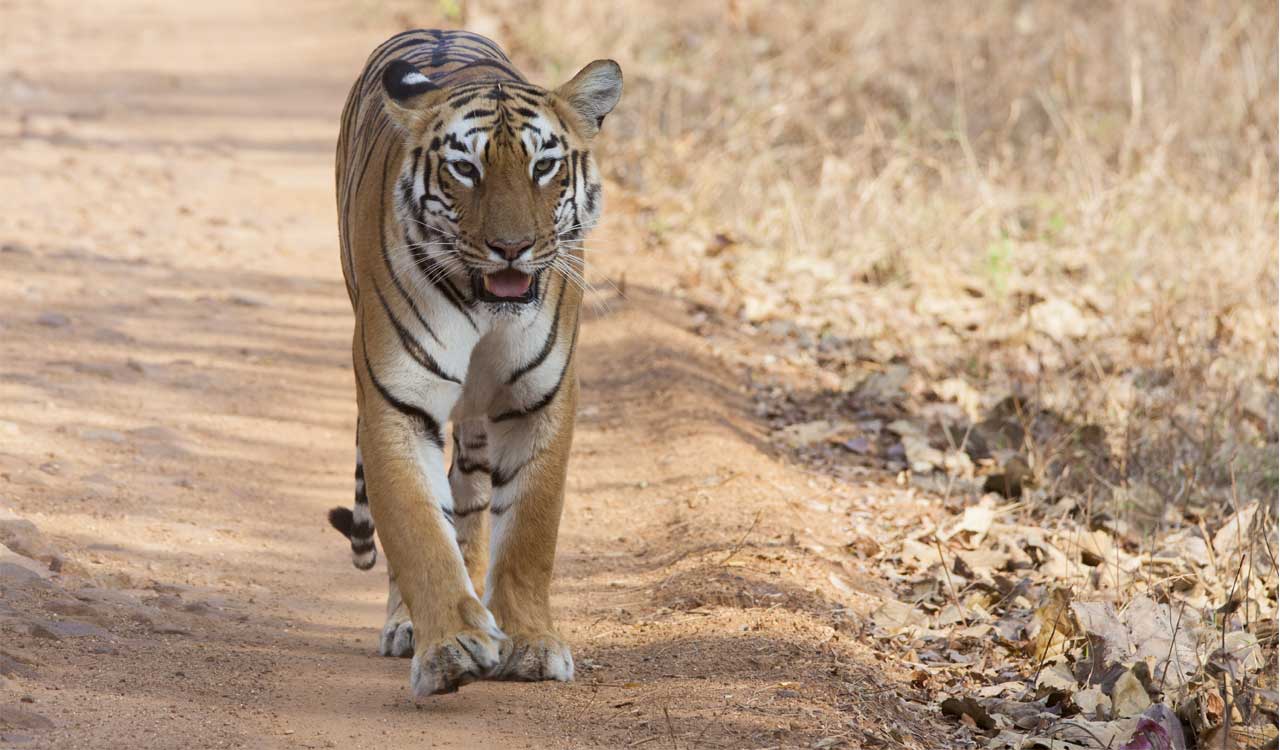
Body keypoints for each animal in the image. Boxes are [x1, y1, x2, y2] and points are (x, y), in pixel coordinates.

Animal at [325, 29, 621, 696]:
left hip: (481, 426)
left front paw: (531, 643)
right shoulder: (396, 401)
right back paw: (410, 626)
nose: (511, 248)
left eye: (544, 166)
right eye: (466, 168)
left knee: (471, 500)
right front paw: (451, 646)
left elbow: (529, 531)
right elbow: (416, 528)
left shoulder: (540, 400)